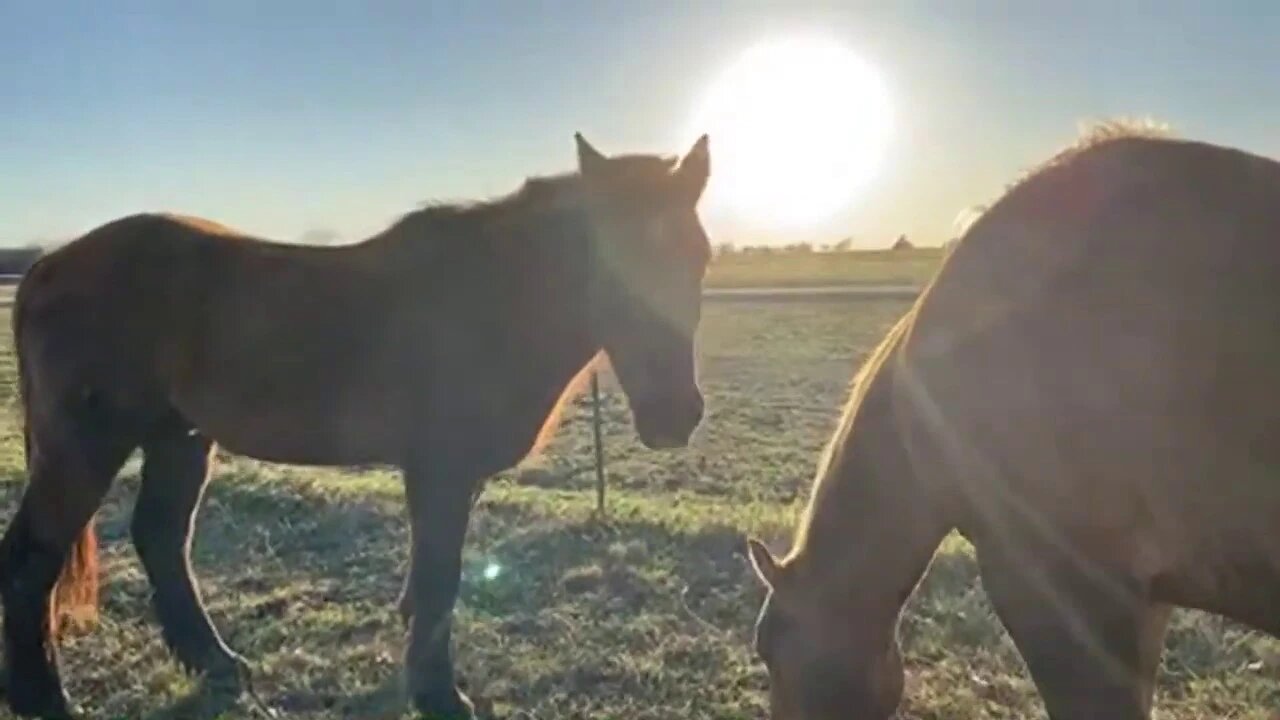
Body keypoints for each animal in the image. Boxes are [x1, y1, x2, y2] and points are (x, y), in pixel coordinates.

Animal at [0, 132, 713, 719]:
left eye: (699, 258)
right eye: (608, 261)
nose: (674, 415)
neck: (485, 300)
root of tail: (45, 267)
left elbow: (427, 586)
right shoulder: (439, 472)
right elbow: (440, 580)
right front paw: (440, 697)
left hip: (179, 438)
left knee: (160, 539)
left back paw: (217, 665)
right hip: (87, 446)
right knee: (34, 554)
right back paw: (44, 700)